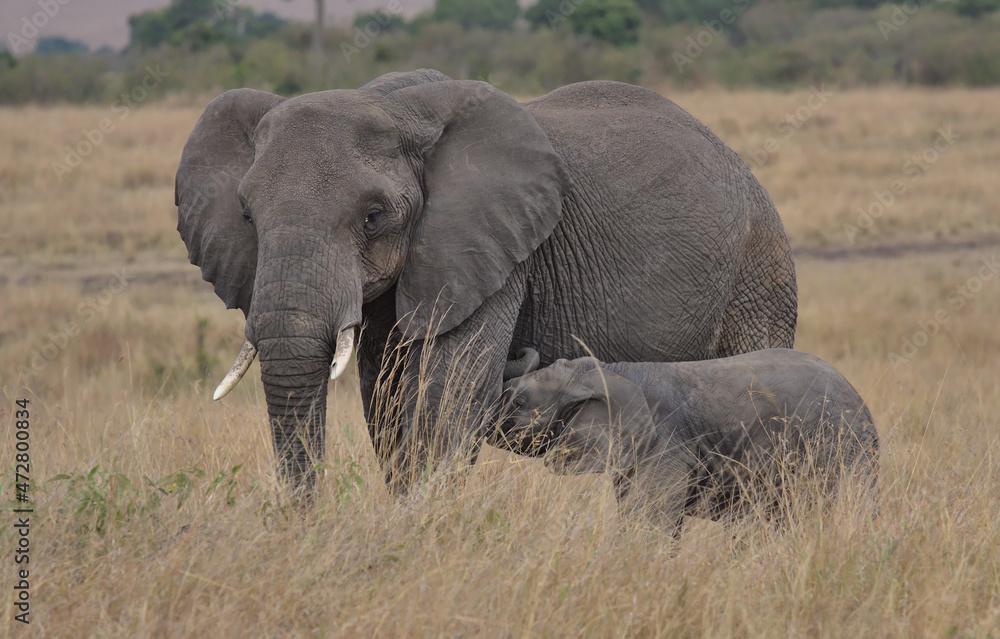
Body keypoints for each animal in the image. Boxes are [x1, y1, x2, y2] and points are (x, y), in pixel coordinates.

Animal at [174, 68, 798, 496]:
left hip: (760, 270)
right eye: (247, 217)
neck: (389, 103)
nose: (307, 523)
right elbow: (388, 399)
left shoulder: (492, 249)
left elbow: (449, 391)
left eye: (373, 217)